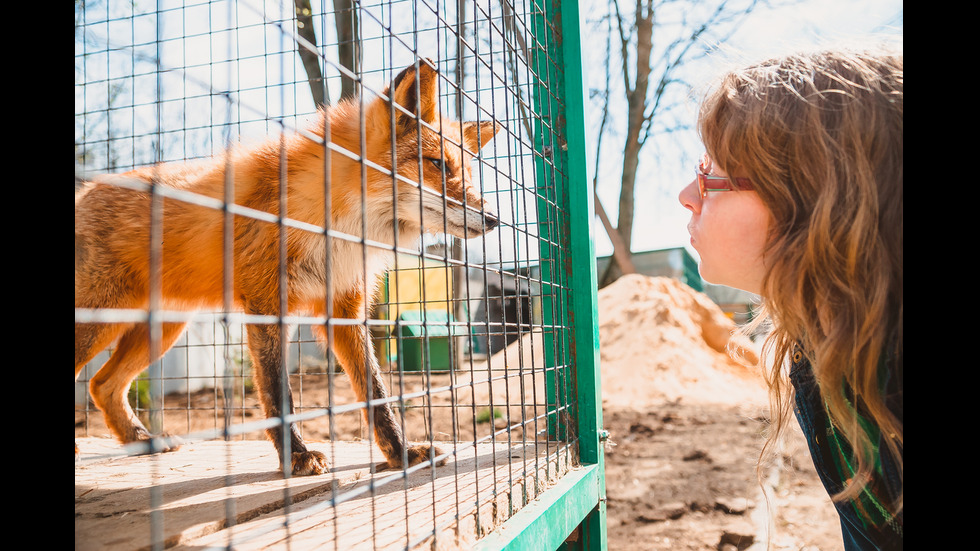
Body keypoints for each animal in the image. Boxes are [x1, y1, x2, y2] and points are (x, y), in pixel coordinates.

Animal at [73, 58, 502, 476]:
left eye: (466, 171)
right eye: (438, 165)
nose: (495, 219)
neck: (334, 223)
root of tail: (85, 191)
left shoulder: (344, 309)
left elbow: (377, 394)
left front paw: (401, 453)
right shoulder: (267, 306)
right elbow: (280, 394)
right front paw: (297, 457)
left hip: (162, 329)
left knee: (102, 384)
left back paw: (141, 439)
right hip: (100, 319)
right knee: (94, 379)